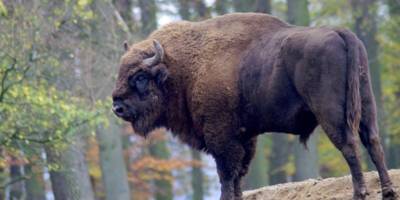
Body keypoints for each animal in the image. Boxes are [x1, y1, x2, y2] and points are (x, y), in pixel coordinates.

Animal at [111, 13, 396, 199]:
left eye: (139, 77)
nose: (117, 107)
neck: (182, 67)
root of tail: (341, 32)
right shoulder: (245, 136)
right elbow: (240, 172)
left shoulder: (222, 137)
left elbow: (227, 173)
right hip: (366, 106)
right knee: (373, 142)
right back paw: (388, 191)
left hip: (331, 113)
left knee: (349, 145)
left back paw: (361, 193)